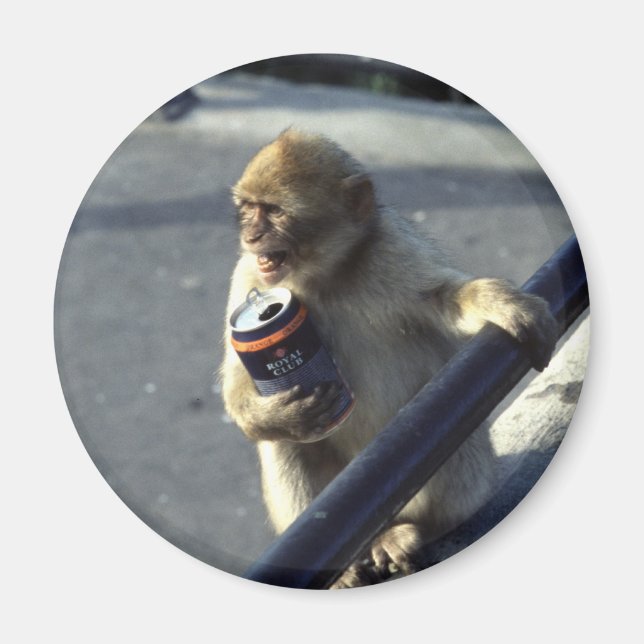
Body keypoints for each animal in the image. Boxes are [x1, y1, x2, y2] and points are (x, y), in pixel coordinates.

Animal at [220, 128, 558, 588]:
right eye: (248, 208)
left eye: (274, 211)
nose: (252, 236)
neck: (325, 276)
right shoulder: (248, 277)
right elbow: (239, 379)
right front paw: (278, 415)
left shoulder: (393, 249)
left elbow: (444, 298)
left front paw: (504, 304)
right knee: (284, 445)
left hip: (457, 487)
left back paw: (408, 533)